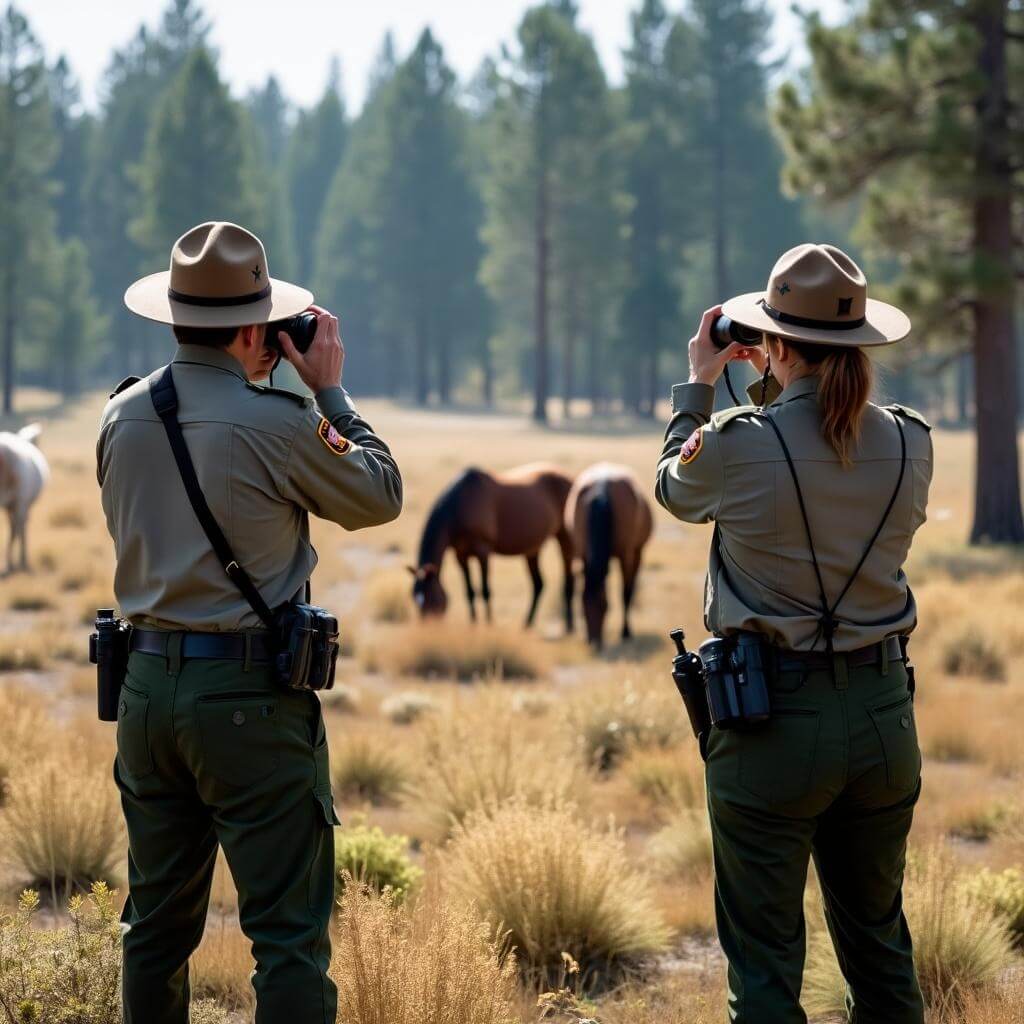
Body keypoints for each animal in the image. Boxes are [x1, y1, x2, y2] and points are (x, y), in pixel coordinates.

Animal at [0, 423, 49, 575]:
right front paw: (20, 561)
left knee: (15, 528)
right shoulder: (21, 503)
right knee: (18, 528)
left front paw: (14, 563)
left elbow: (15, 529)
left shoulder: (13, 505)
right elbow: (20, 529)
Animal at [410, 463, 575, 630]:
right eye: (414, 597)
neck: (461, 505)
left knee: (568, 581)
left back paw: (569, 627)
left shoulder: (483, 552)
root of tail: (570, 478)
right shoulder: (461, 555)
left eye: (431, 597)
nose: (427, 628)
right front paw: (473, 624)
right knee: (538, 584)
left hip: (565, 540)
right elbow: (469, 592)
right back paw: (527, 624)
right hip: (533, 550)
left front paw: (489, 624)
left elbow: (485, 591)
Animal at [565, 462, 653, 649]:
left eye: (605, 606)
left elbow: (625, 593)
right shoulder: (582, 553)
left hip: (637, 552)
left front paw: (626, 632)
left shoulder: (626, 556)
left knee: (631, 587)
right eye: (582, 607)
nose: (593, 642)